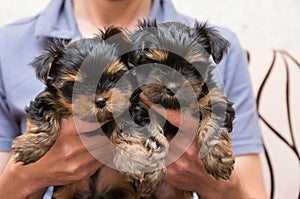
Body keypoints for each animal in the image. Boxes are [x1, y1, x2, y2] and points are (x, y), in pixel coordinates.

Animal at [130, 19, 236, 180]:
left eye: (192, 66)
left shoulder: (215, 98)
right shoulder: (142, 103)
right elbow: (152, 133)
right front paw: (153, 170)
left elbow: (213, 125)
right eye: (155, 63)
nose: (172, 86)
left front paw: (218, 159)